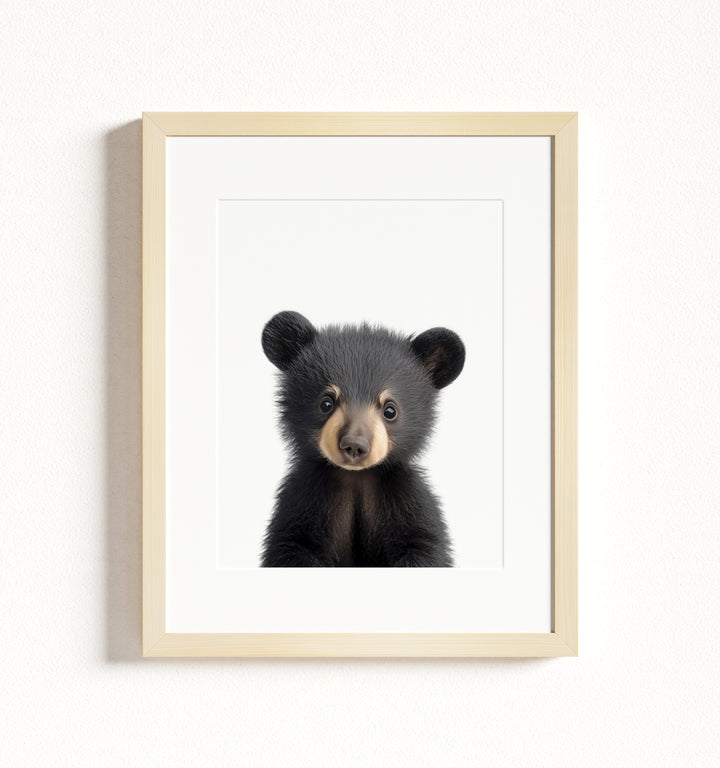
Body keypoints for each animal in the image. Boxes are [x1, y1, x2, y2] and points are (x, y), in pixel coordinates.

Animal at [260, 310, 465, 567]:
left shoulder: (406, 497)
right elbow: (292, 543)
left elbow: (422, 543)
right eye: (326, 404)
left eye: (390, 410)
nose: (355, 446)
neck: (356, 478)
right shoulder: (303, 498)